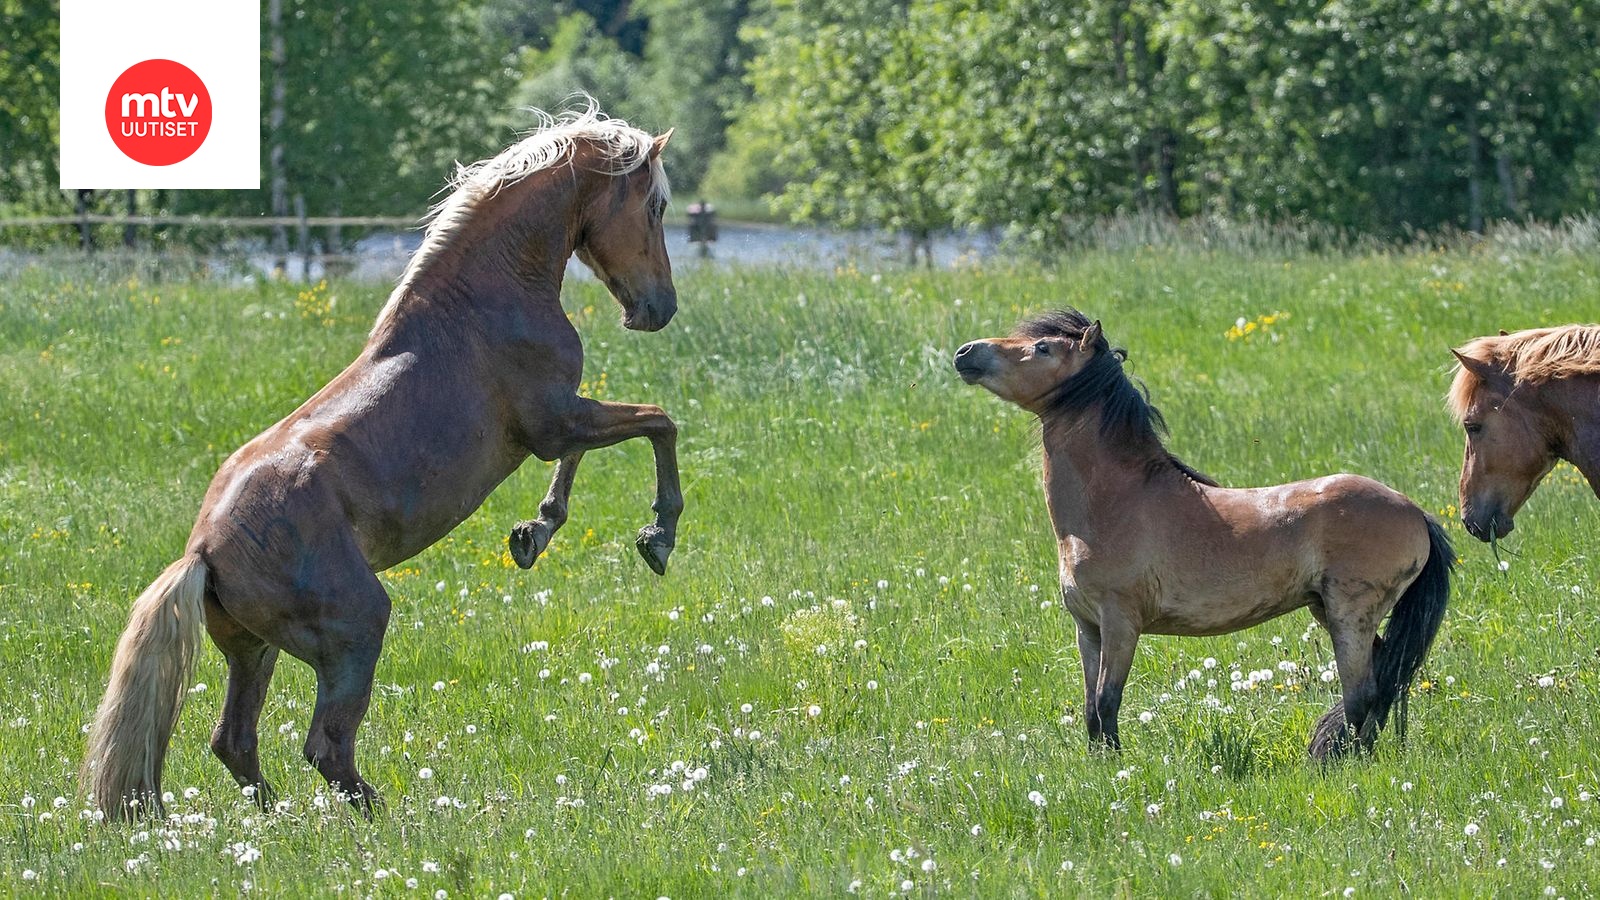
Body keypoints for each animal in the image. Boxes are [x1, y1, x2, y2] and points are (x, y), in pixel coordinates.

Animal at [84, 101, 681, 816]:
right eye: (656, 206)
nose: (659, 308)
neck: (484, 300)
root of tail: (202, 552)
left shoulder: (562, 424)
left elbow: (597, 456)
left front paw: (532, 533)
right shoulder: (557, 421)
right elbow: (659, 423)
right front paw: (656, 537)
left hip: (255, 651)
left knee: (235, 741)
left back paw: (280, 818)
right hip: (357, 630)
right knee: (325, 745)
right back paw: (392, 819)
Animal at [953, 310, 1459, 755]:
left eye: (1042, 347)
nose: (965, 352)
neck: (1114, 504)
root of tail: (1417, 513)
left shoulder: (1120, 623)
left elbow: (1107, 702)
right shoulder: (1088, 629)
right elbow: (1091, 712)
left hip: (1349, 614)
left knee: (1362, 695)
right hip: (1334, 612)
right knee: (1381, 683)